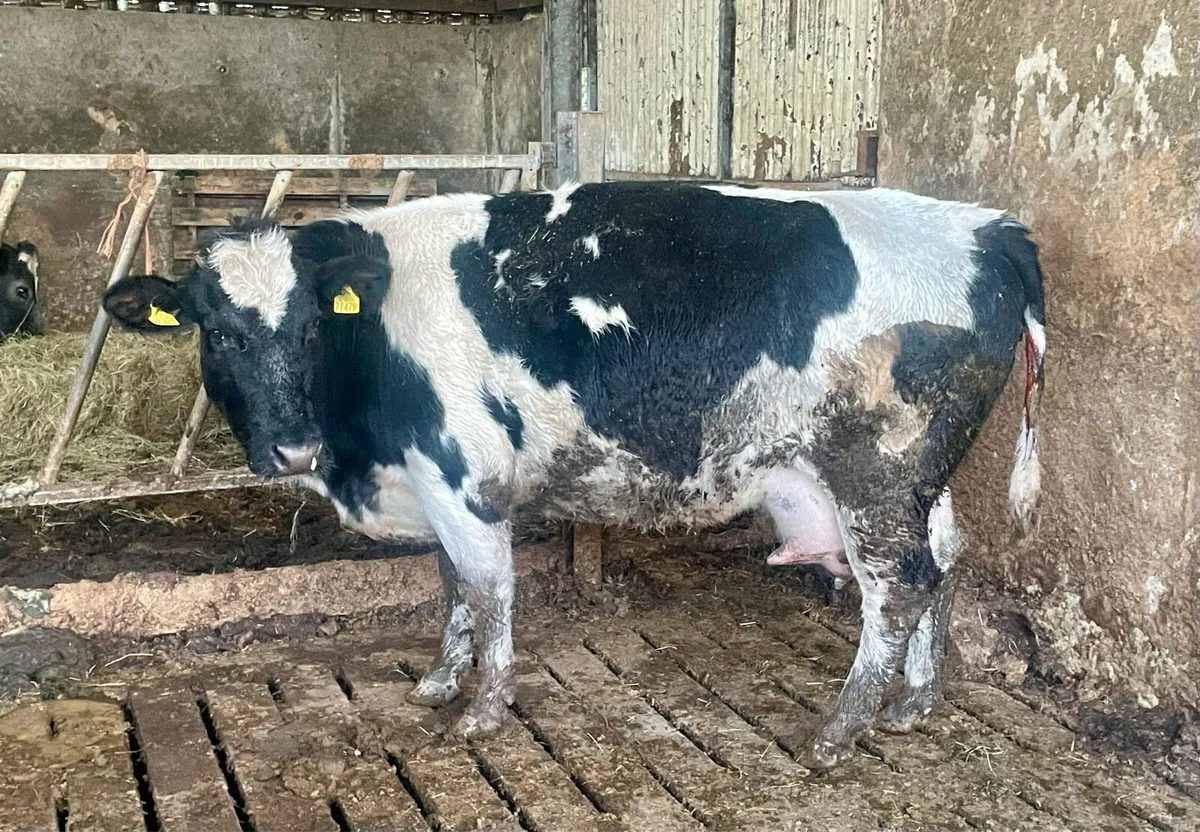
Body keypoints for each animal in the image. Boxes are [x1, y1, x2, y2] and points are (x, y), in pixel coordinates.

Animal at [102, 181, 1046, 769]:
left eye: (308, 326)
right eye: (216, 330)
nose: (291, 450)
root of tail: (987, 227)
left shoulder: (467, 479)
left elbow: (487, 592)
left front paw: (483, 709)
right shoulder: (434, 487)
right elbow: (449, 585)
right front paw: (439, 680)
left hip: (876, 471)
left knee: (898, 588)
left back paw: (841, 729)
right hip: (922, 477)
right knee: (947, 561)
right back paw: (915, 702)